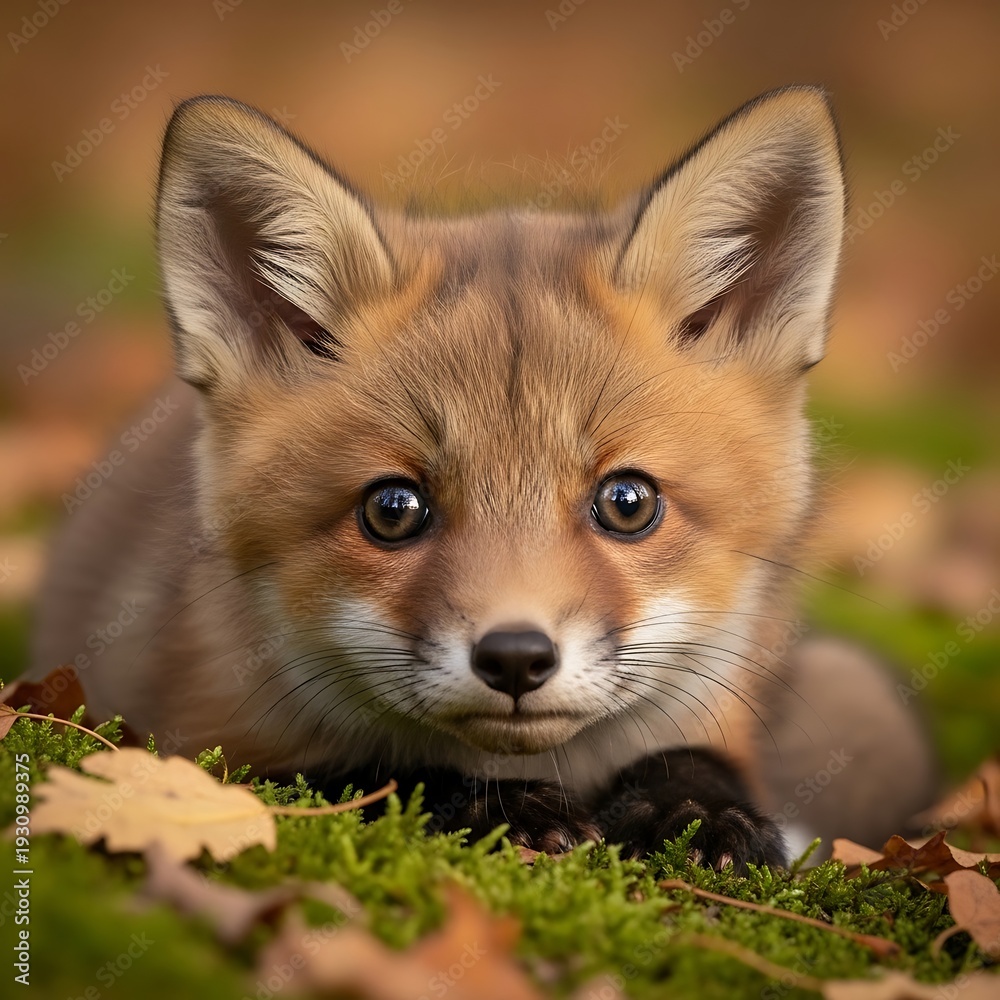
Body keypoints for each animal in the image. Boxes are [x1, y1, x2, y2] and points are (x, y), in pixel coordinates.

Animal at [30, 87, 936, 869]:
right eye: (394, 509)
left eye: (628, 503)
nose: (515, 658)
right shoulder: (191, 738)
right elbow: (366, 769)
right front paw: (495, 806)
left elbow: (697, 757)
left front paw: (701, 812)